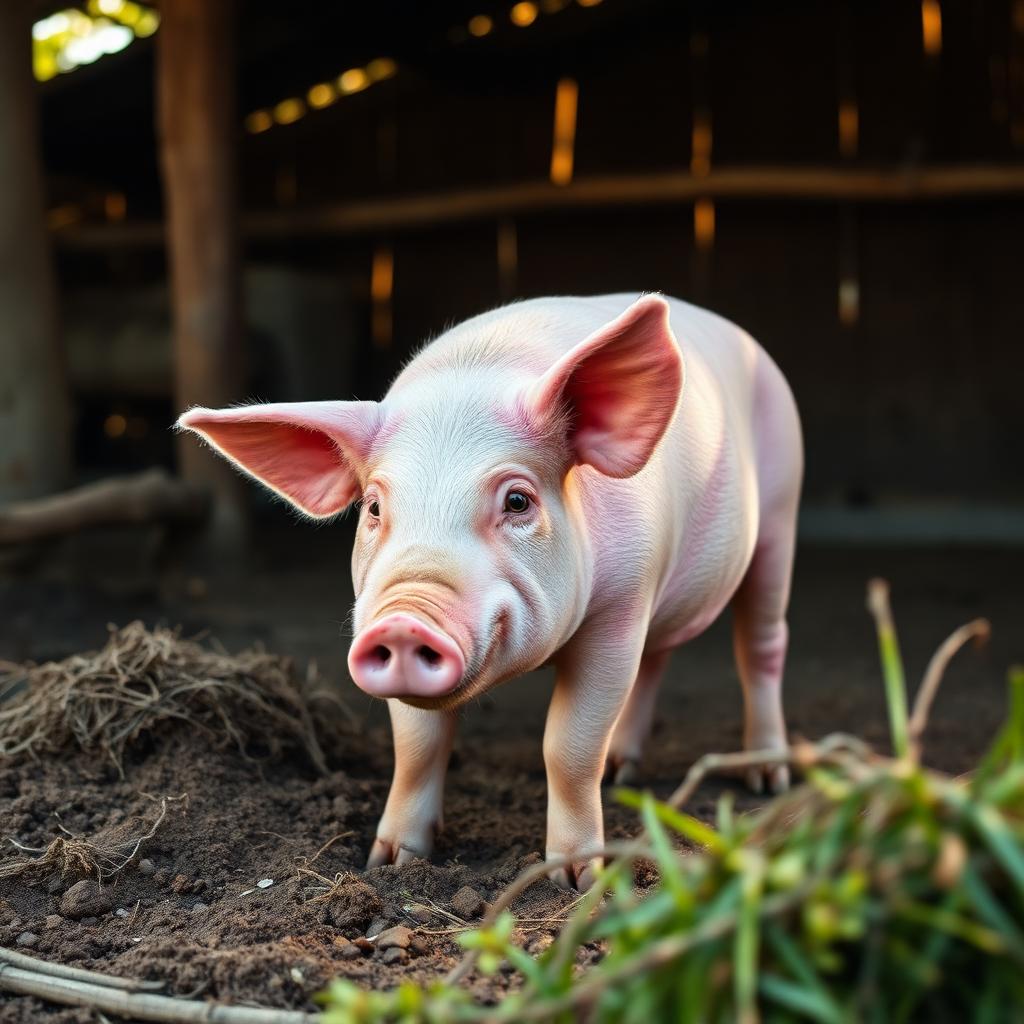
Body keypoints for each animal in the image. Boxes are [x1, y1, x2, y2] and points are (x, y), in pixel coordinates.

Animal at [177, 293, 802, 890]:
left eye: (518, 501)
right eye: (374, 507)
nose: (403, 620)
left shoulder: (620, 608)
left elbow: (569, 746)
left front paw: (576, 878)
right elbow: (417, 747)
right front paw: (389, 865)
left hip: (779, 514)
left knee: (761, 645)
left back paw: (767, 777)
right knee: (657, 659)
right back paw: (623, 769)